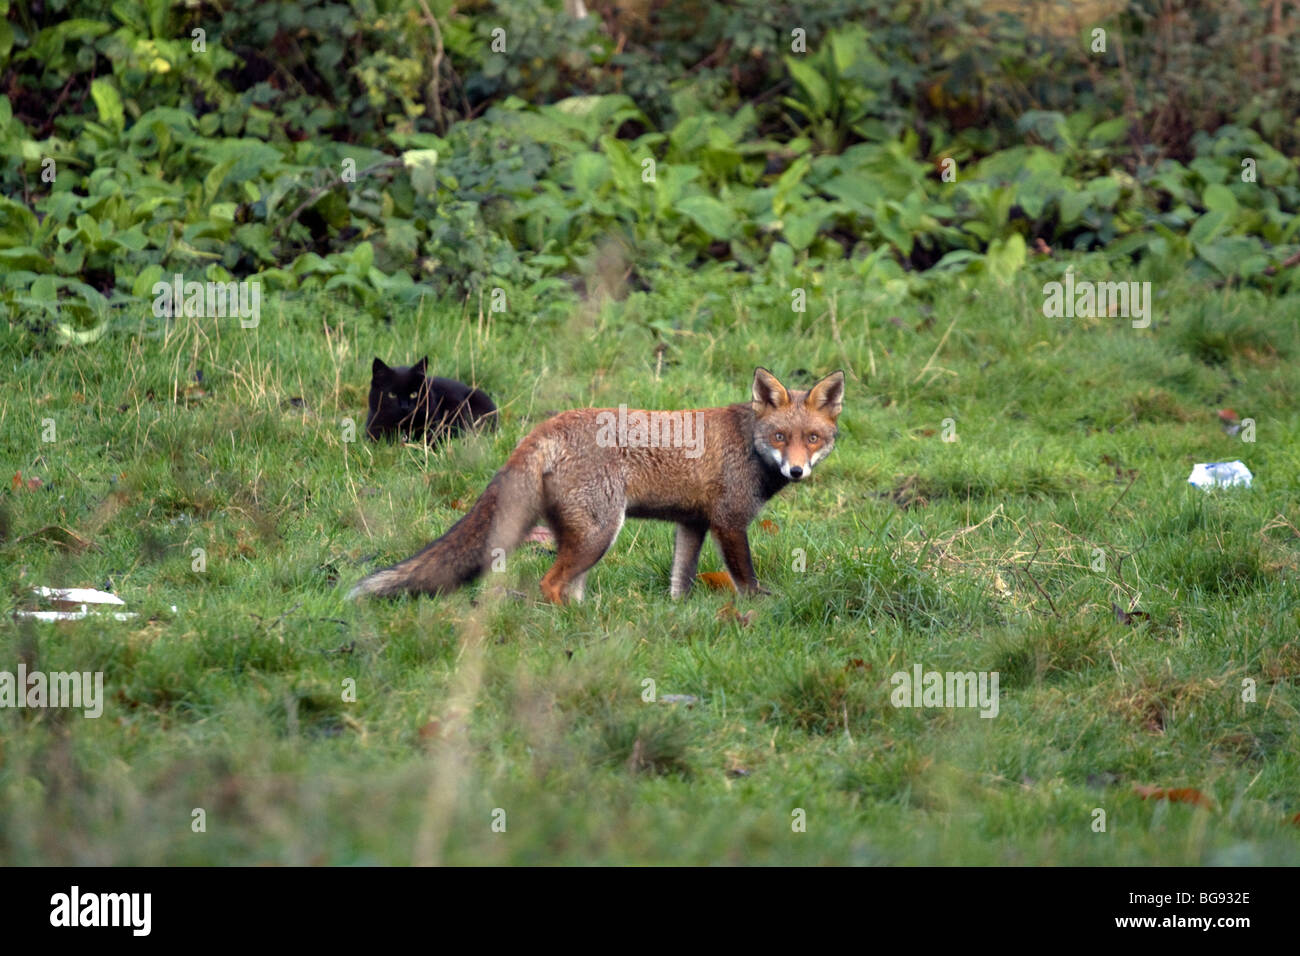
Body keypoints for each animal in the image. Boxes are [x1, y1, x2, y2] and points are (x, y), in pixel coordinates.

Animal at [353, 369, 842, 606]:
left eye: (812, 439)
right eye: (780, 437)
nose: (796, 471)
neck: (748, 444)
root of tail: (545, 427)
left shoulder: (693, 524)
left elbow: (679, 580)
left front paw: (679, 615)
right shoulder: (729, 521)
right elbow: (746, 579)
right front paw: (757, 611)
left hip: (585, 536)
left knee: (568, 586)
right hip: (600, 533)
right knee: (551, 585)